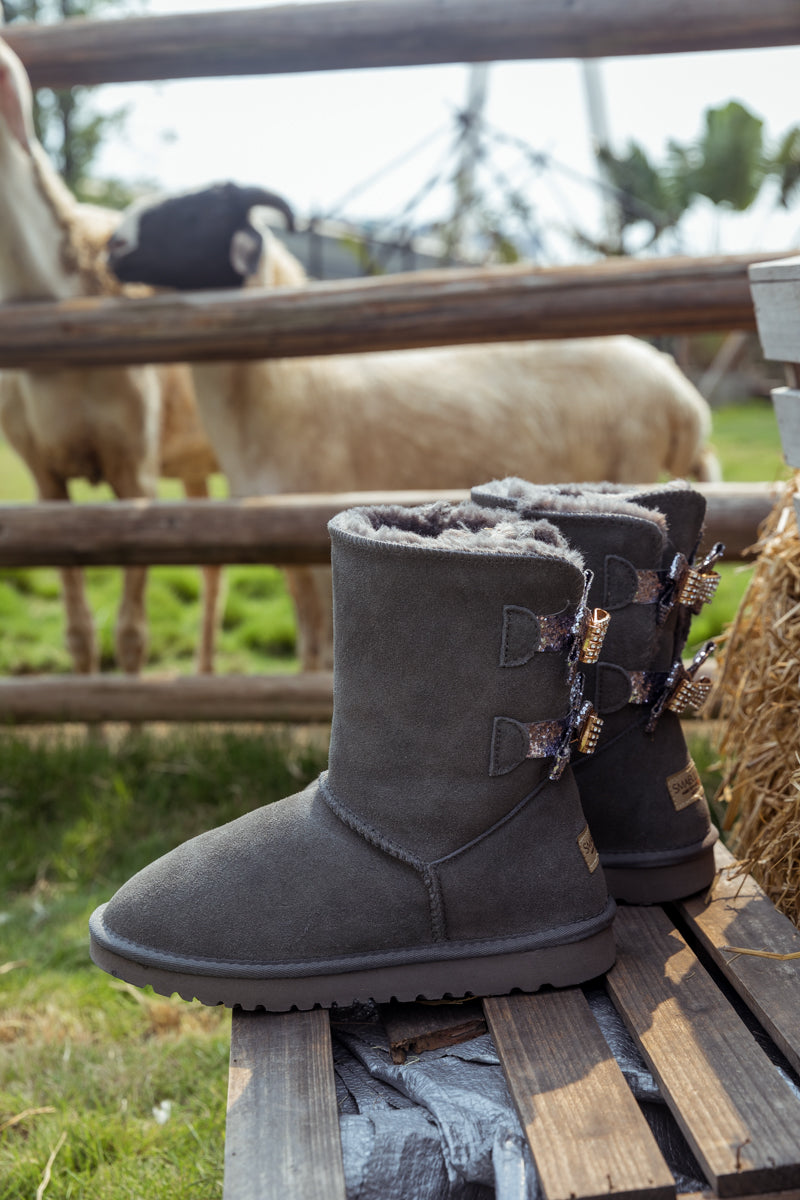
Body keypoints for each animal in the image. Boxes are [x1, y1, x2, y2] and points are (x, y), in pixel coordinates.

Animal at [104, 181, 719, 672]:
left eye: (196, 212)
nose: (112, 245)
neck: (288, 385)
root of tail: (682, 395)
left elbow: (327, 652)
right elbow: (309, 648)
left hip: (633, 460)